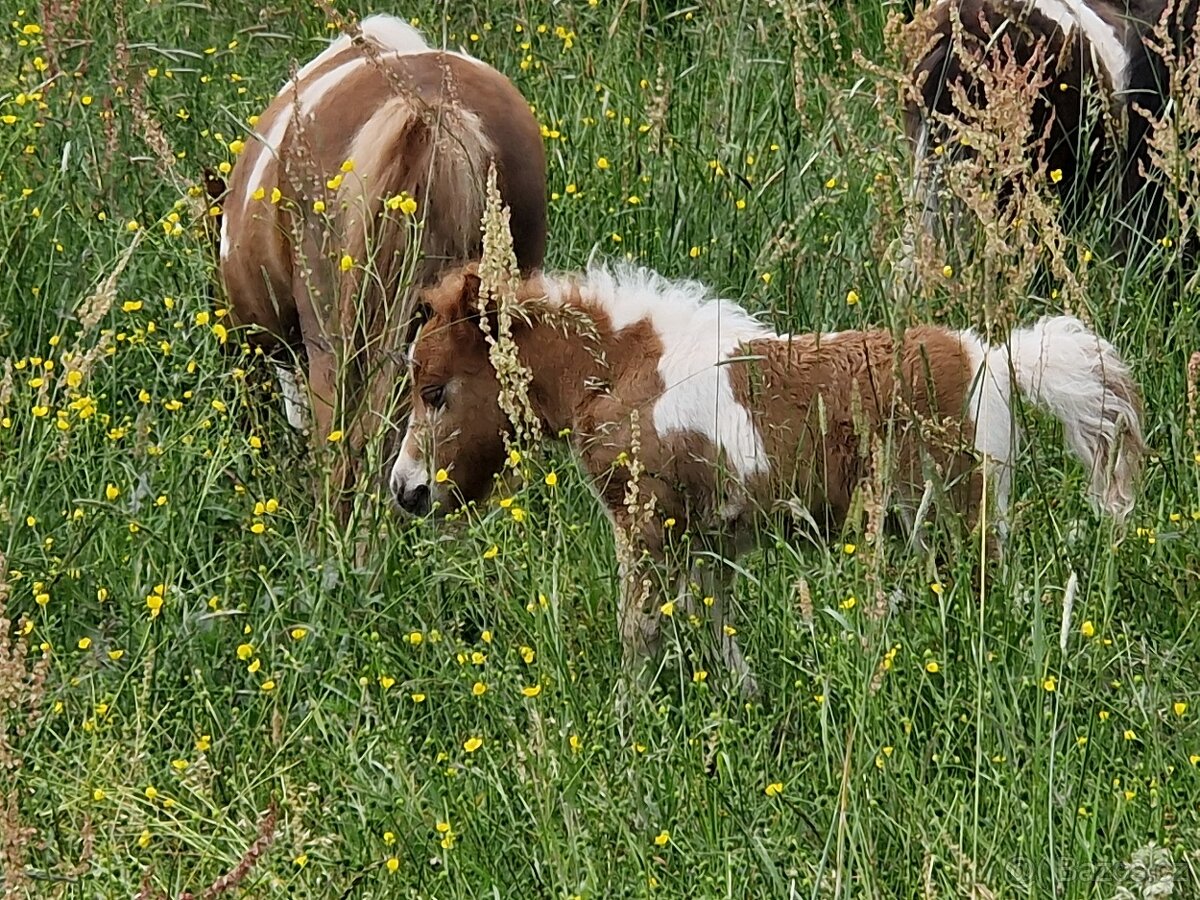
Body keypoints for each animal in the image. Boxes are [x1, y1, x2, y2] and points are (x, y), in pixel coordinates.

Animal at [391, 264, 1142, 696]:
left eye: (434, 392)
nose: (407, 491)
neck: (626, 368)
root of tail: (993, 358)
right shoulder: (711, 538)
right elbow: (712, 622)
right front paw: (744, 700)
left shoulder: (646, 525)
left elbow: (639, 628)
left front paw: (630, 722)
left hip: (960, 519)